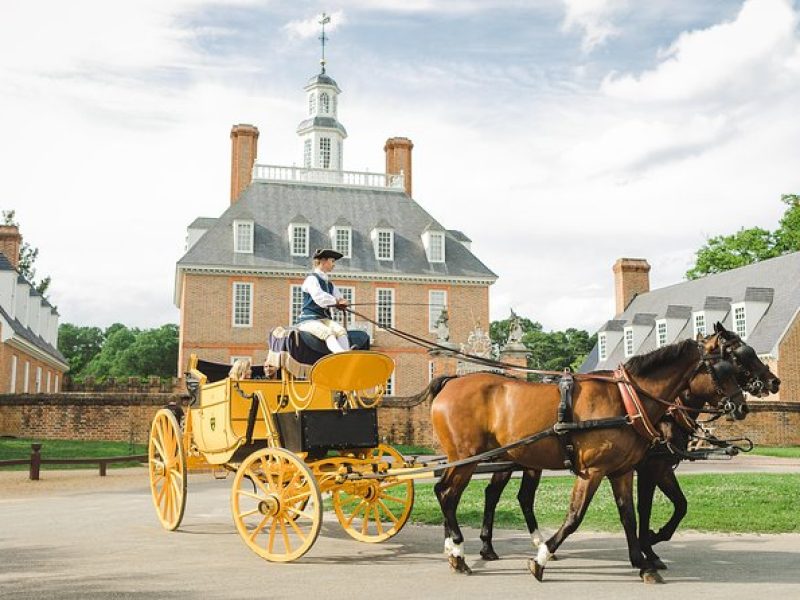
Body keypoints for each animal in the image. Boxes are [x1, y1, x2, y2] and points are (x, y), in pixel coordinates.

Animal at [428, 332, 740, 580]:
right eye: (725, 366)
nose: (740, 405)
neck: (626, 400)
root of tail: (451, 382)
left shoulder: (624, 470)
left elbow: (631, 515)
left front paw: (643, 561)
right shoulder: (598, 471)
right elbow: (577, 516)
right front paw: (541, 560)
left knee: (454, 493)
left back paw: (459, 549)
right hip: (468, 457)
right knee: (449, 494)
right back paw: (459, 550)